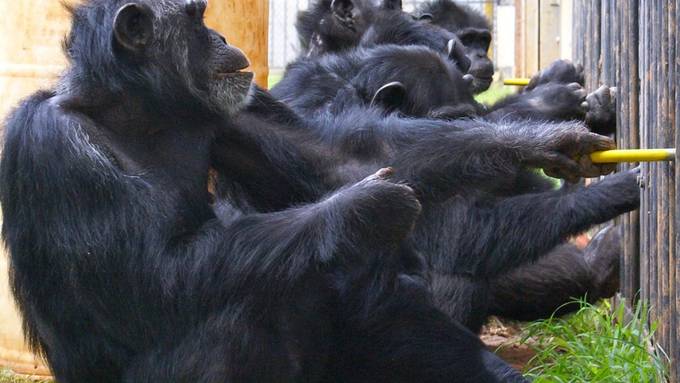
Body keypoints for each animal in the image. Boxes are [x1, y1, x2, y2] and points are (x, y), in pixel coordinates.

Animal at [0, 1, 628, 382]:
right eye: (196, 19)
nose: (219, 34)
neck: (138, 110)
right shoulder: (56, 146)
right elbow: (155, 275)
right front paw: (360, 210)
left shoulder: (239, 106)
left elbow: (343, 156)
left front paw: (548, 132)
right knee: (252, 296)